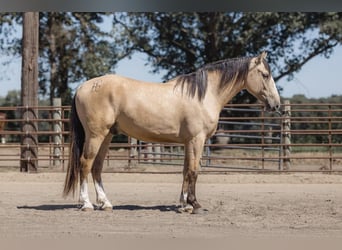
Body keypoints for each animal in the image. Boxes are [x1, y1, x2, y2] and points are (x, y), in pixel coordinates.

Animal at [62, 51, 280, 214]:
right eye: (265, 74)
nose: (276, 104)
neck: (203, 95)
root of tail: (83, 86)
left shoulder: (188, 142)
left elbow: (185, 170)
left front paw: (184, 204)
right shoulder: (196, 140)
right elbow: (194, 171)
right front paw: (194, 204)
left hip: (107, 136)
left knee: (97, 167)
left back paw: (105, 203)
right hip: (95, 135)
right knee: (85, 164)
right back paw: (87, 204)